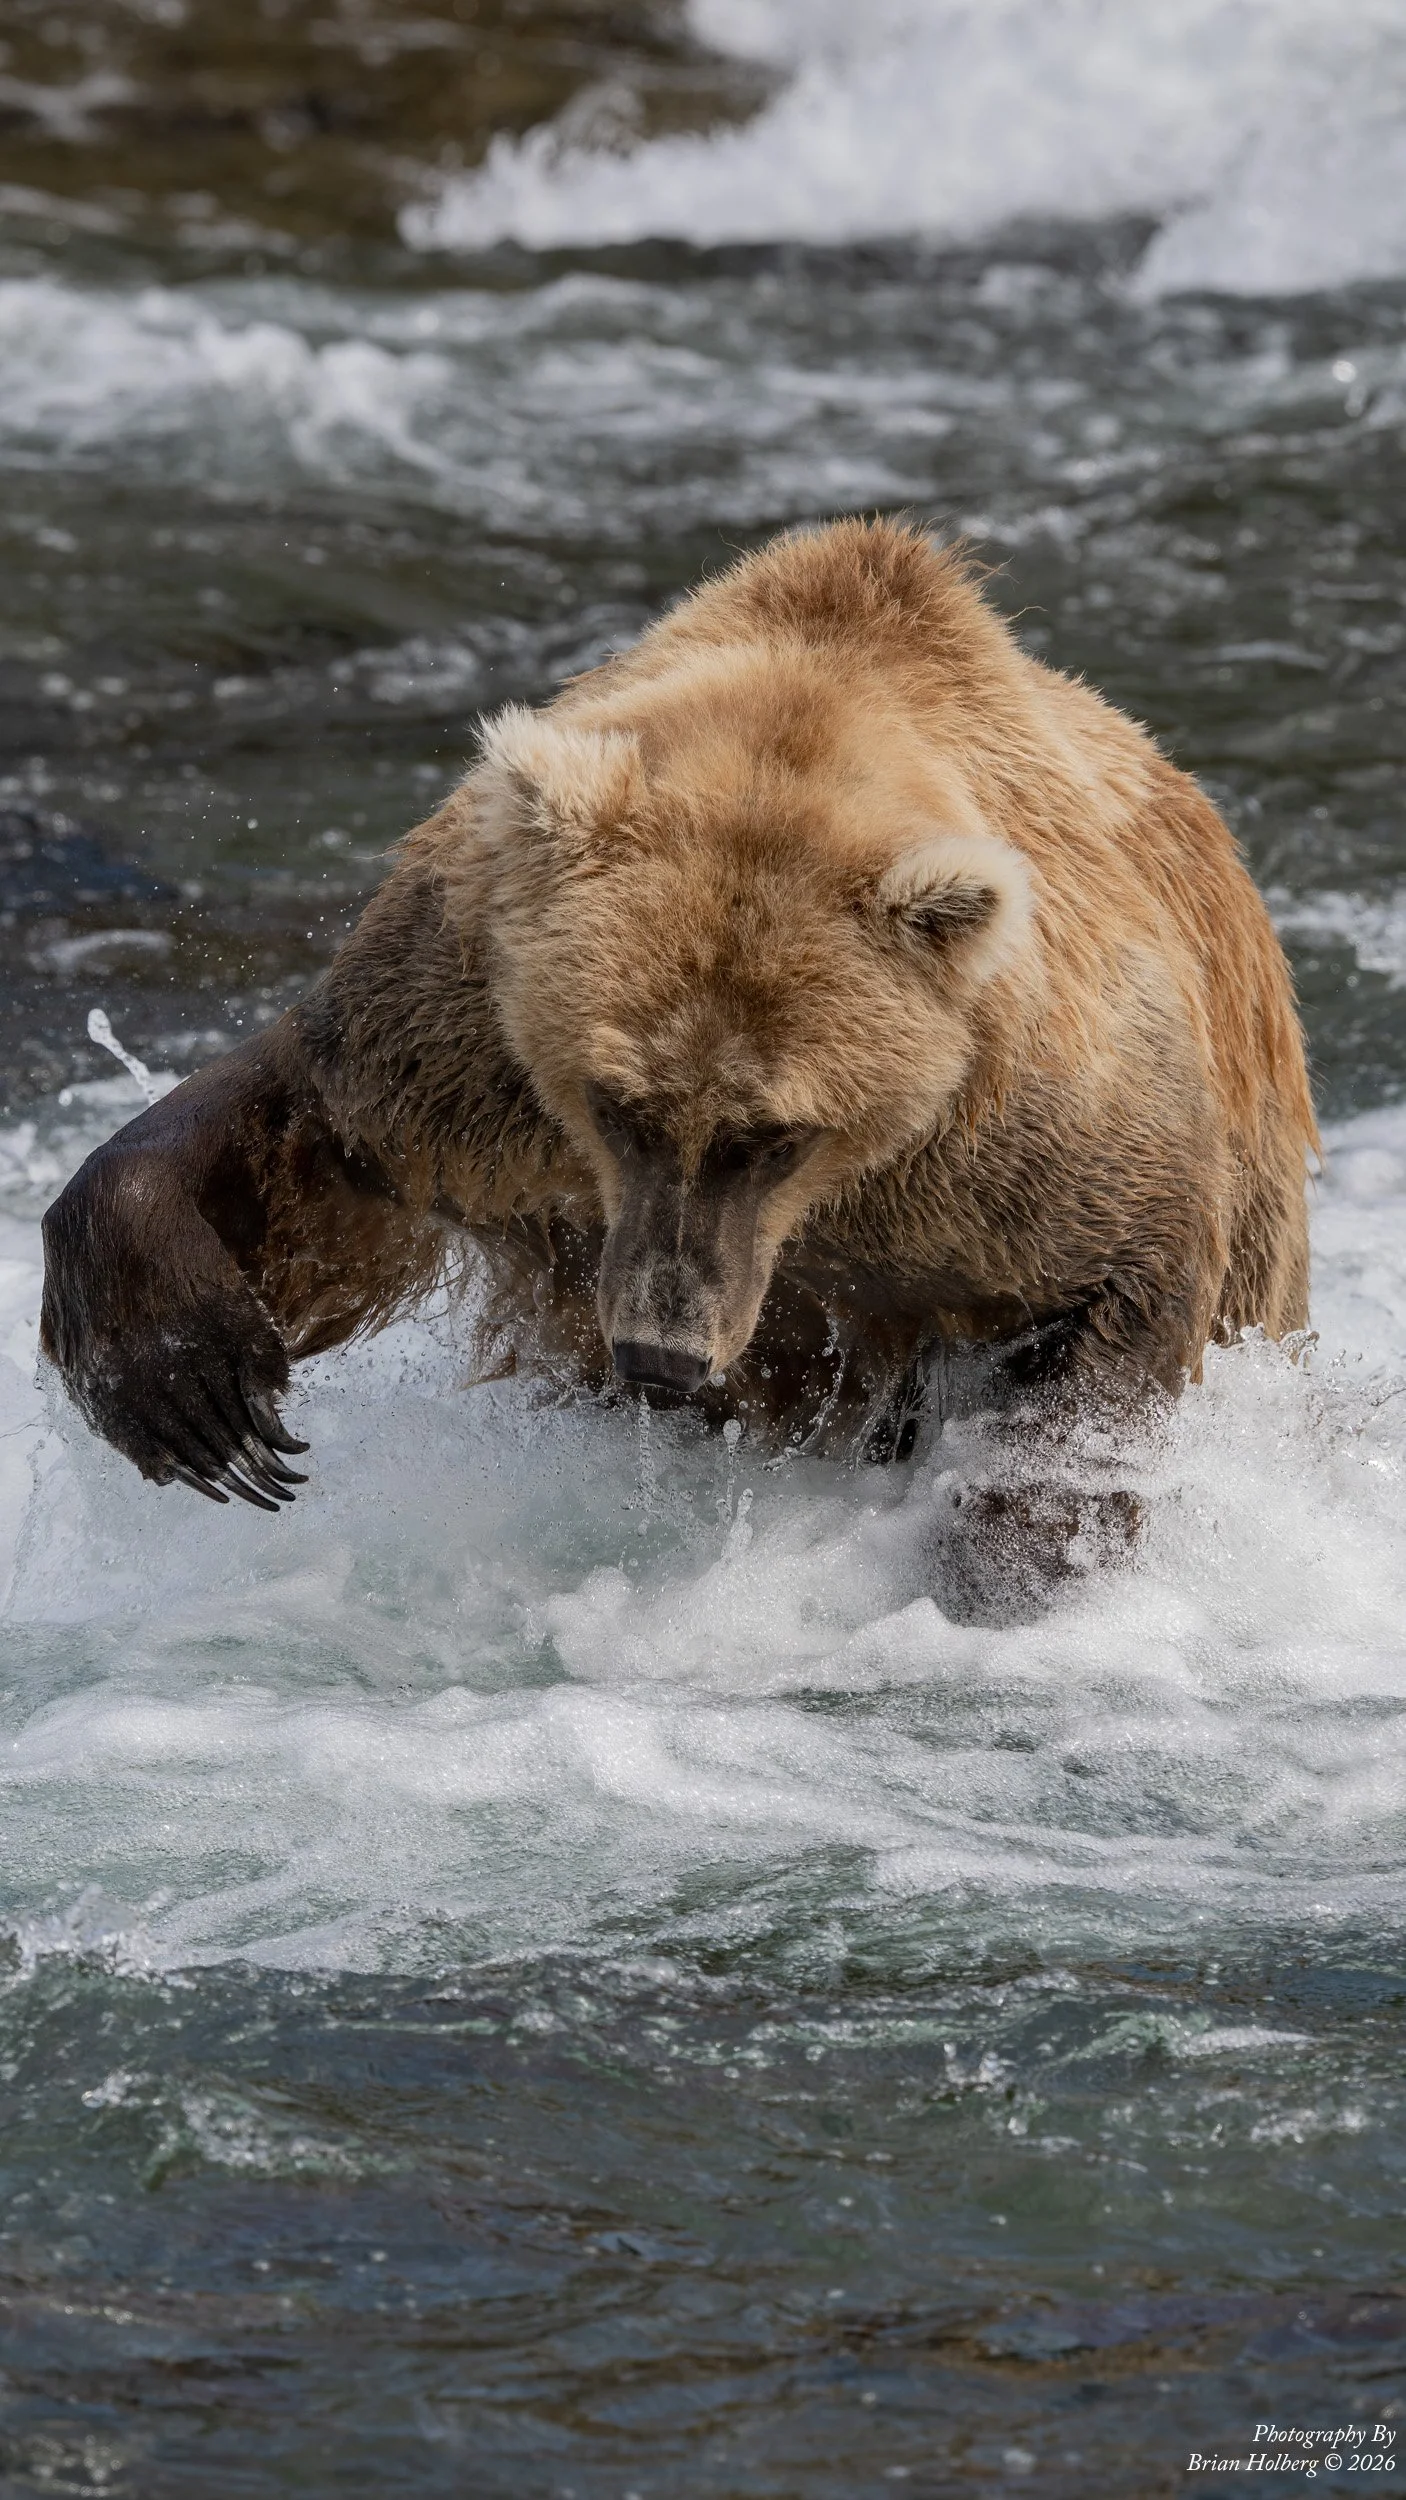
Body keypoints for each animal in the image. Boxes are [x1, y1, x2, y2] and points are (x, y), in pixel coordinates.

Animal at [40, 517, 1316, 1569]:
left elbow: (1115, 1286)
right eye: (617, 1104)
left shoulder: (1012, 1136)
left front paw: (1013, 1548)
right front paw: (189, 1387)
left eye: (776, 1133)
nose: (660, 1351)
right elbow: (315, 1142)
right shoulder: (467, 1030)